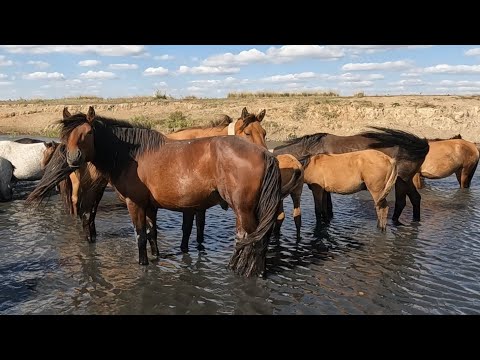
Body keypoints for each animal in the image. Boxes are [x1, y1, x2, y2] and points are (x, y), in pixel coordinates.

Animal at [26, 105, 282, 278]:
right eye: (66, 135)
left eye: (88, 133)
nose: (73, 158)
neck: (131, 155)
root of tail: (265, 154)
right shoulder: (150, 205)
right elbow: (152, 233)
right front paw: (156, 257)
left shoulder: (136, 203)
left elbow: (141, 235)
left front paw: (143, 264)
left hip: (243, 209)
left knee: (254, 238)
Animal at [272, 128, 430, 226]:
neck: (310, 151)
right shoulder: (326, 188)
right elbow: (327, 209)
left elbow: (323, 209)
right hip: (406, 181)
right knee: (415, 198)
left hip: (401, 182)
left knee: (401, 202)